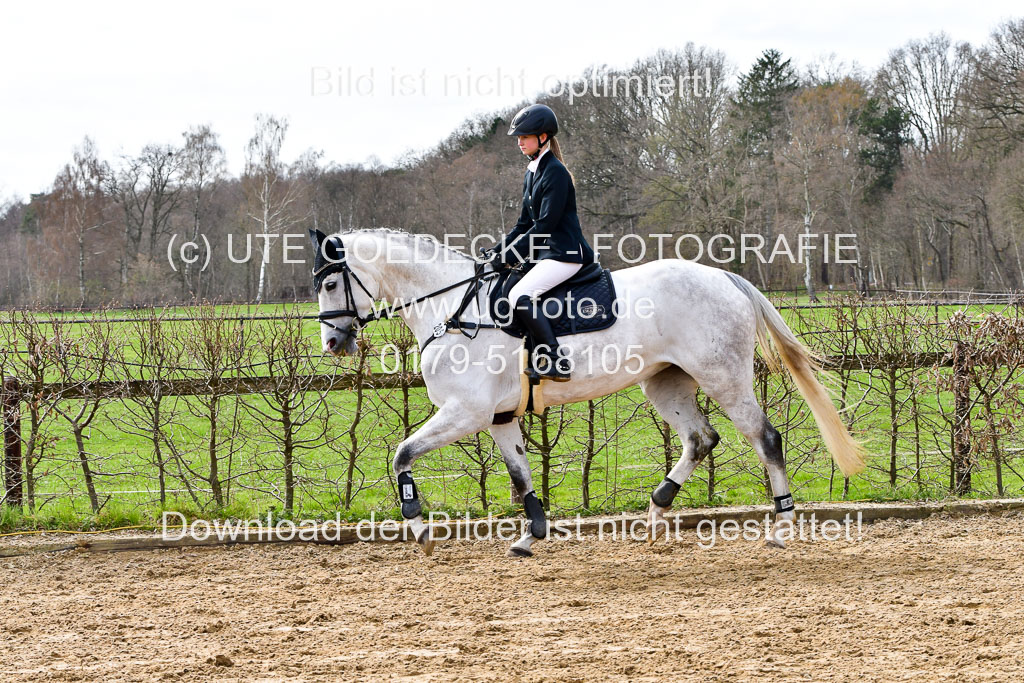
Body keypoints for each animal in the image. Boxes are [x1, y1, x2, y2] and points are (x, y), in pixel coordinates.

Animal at [305, 227, 864, 557]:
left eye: (330, 285)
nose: (332, 343)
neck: (453, 309)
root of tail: (724, 277)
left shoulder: (466, 412)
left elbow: (401, 455)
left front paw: (419, 529)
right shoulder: (499, 417)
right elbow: (520, 474)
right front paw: (531, 535)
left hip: (723, 377)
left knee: (765, 438)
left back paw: (781, 529)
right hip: (665, 382)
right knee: (701, 439)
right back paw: (656, 511)